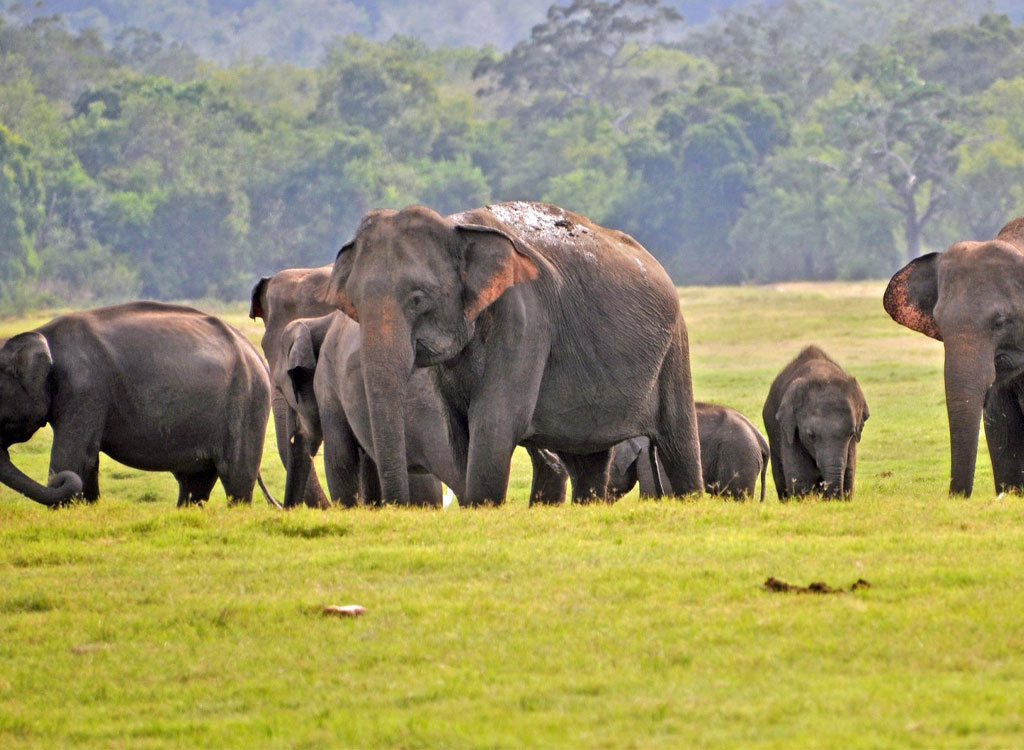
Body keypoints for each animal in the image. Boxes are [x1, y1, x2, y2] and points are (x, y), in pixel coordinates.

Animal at [0, 302, 273, 507]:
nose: (61, 482)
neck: (44, 336)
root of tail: (254, 352)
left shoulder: (85, 389)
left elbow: (72, 457)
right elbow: (87, 460)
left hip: (247, 402)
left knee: (237, 481)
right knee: (195, 484)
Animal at [325, 201, 703, 506]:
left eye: (418, 299)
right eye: (352, 303)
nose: (393, 504)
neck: (454, 226)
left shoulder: (524, 318)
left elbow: (494, 423)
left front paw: (481, 507)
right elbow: (459, 433)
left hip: (674, 348)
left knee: (678, 444)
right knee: (588, 462)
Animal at [762, 346, 869, 499]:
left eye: (851, 433)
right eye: (810, 435)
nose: (835, 498)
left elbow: (849, 472)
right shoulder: (789, 427)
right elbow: (800, 476)